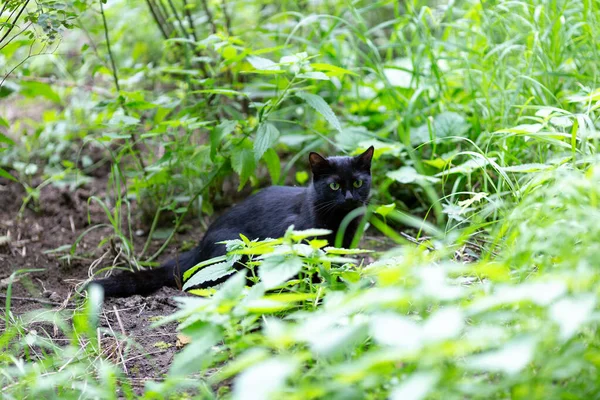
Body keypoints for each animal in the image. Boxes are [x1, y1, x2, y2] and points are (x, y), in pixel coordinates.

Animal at [91, 147, 372, 296]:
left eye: (358, 183)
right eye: (334, 186)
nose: (349, 198)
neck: (338, 221)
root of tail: (200, 244)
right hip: (233, 250)